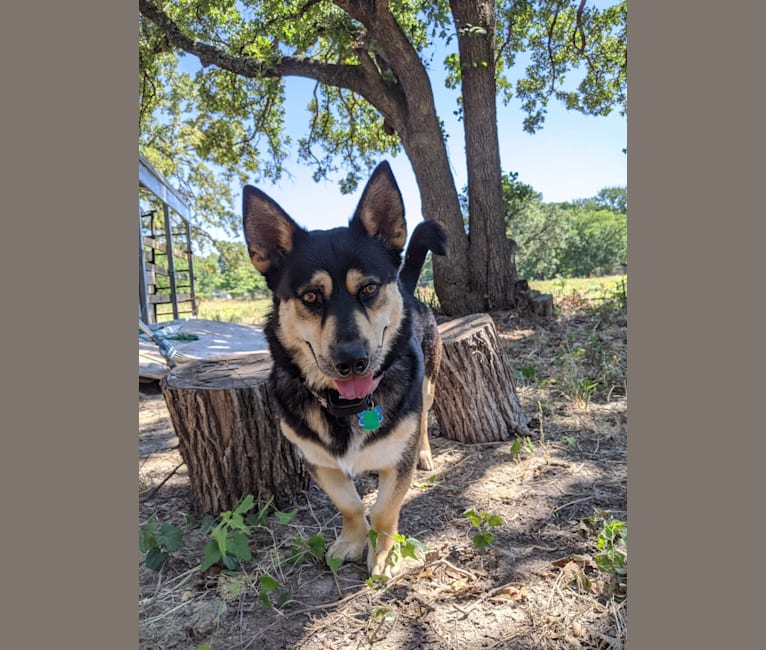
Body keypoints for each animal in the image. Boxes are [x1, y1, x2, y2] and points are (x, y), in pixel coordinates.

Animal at [243, 159, 448, 576]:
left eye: (368, 289)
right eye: (310, 297)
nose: (352, 360)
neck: (346, 406)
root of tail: (407, 286)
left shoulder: (395, 463)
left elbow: (384, 511)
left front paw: (384, 555)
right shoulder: (319, 462)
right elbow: (351, 505)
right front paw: (352, 541)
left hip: (429, 385)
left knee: (422, 421)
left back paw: (424, 452)